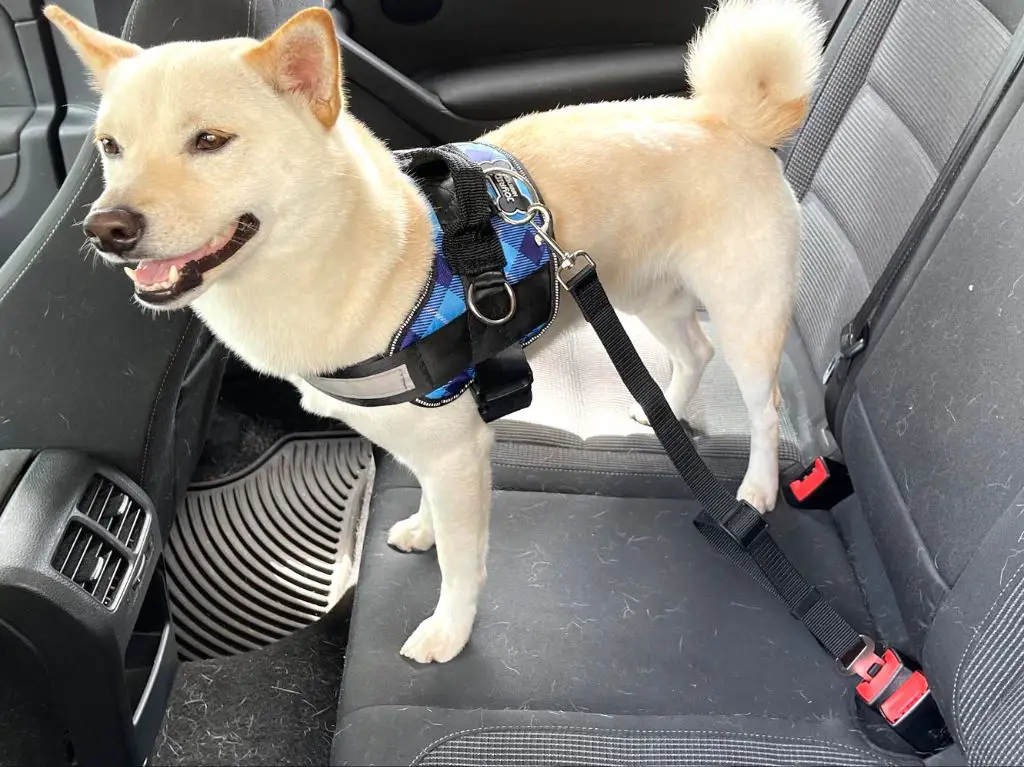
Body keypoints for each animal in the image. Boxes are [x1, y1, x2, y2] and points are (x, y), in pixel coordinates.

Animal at [46, 0, 823, 659]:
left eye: (210, 140)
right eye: (110, 147)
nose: (105, 228)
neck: (351, 251)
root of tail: (730, 119)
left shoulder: (456, 447)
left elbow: (461, 559)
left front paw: (449, 631)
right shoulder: (431, 435)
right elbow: (429, 503)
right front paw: (422, 526)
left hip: (744, 309)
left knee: (762, 405)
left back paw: (755, 490)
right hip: (638, 293)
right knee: (692, 350)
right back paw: (658, 410)